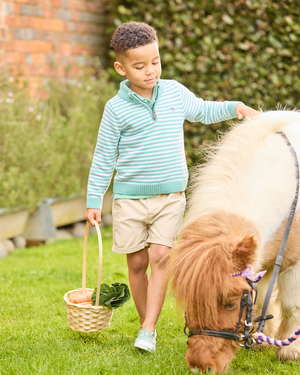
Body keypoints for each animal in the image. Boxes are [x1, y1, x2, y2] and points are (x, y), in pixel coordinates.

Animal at [168, 110, 300, 374]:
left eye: (230, 304)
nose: (201, 367)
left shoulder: (295, 263)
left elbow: (293, 305)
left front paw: (290, 350)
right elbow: (261, 301)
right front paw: (262, 341)